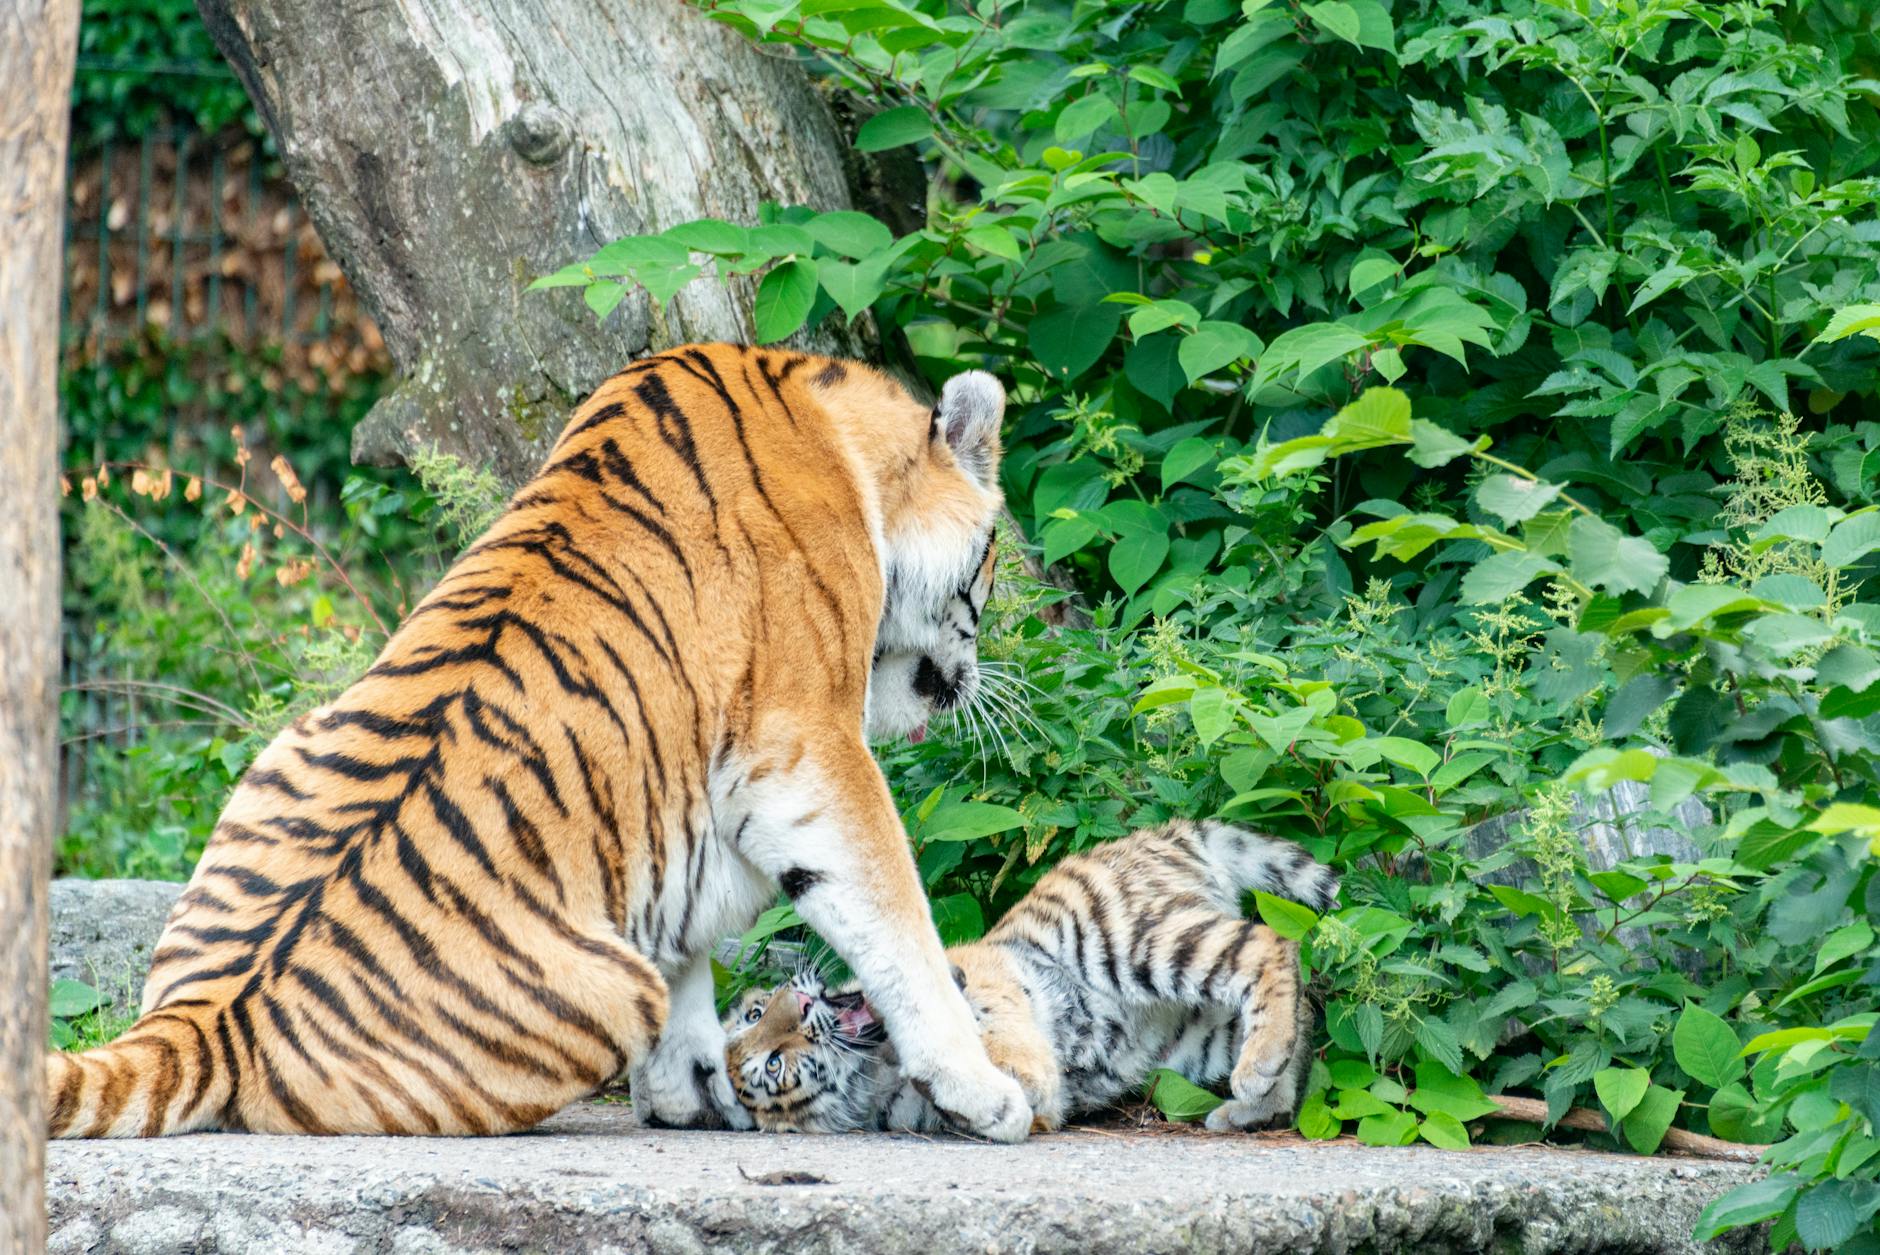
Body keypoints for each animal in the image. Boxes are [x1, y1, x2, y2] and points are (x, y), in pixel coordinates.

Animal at [46, 342, 1035, 1143]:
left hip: (278, 755)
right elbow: (895, 917)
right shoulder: (807, 748)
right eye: (993, 560)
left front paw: (688, 1093)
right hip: (612, 985)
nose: (979, 680)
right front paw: (984, 1091)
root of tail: (205, 1020)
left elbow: (687, 943)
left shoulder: (677, 801)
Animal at [724, 819, 1338, 1135]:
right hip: (1195, 1036)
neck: (877, 1067)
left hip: (1131, 940)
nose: (801, 1005)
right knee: (1297, 1012)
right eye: (773, 1065)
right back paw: (1255, 1103)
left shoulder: (972, 973)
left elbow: (989, 1021)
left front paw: (1031, 1072)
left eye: (756, 1012)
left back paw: (1256, 1075)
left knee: (1272, 945)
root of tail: (1168, 832)